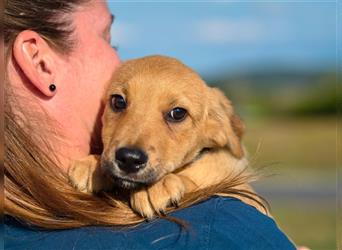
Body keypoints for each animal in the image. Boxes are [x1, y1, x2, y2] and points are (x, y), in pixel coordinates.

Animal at [69, 55, 268, 219]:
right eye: (118, 101)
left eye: (178, 113)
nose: (129, 159)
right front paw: (92, 165)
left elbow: (198, 182)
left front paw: (156, 186)